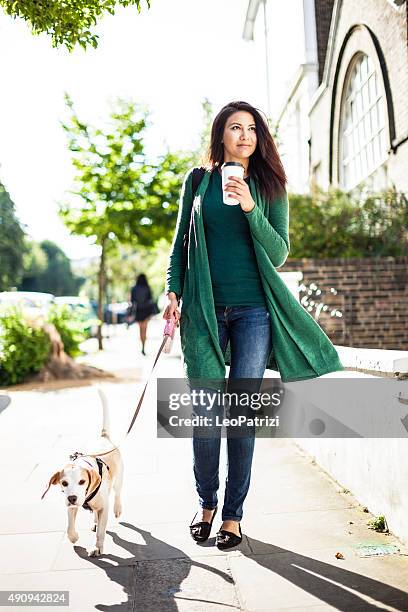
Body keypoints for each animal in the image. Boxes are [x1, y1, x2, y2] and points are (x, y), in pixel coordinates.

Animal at [41, 390, 125, 556]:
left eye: (82, 481)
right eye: (64, 483)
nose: (72, 498)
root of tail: (103, 436)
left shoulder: (103, 507)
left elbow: (101, 532)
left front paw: (97, 547)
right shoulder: (71, 506)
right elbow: (69, 527)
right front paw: (74, 537)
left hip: (118, 479)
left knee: (117, 493)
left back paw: (117, 509)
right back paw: (94, 521)